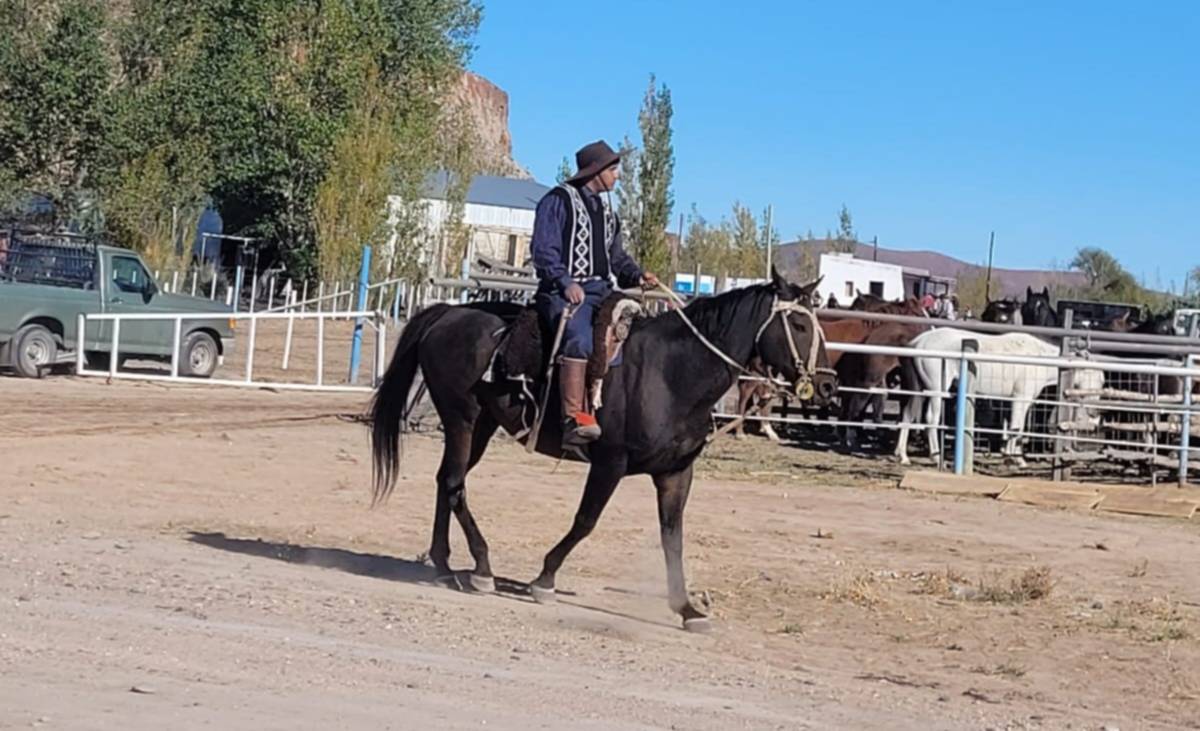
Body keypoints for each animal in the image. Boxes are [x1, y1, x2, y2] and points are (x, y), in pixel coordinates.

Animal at [369, 269, 837, 631]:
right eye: (798, 326)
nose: (828, 385)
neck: (671, 372)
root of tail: (449, 313)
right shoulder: (610, 463)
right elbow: (585, 522)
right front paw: (544, 579)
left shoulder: (676, 473)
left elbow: (673, 538)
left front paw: (686, 608)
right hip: (462, 419)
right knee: (454, 483)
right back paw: (480, 568)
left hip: (482, 425)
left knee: (447, 482)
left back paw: (444, 565)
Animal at [895, 328, 1103, 467]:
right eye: (1098, 378)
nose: (1096, 413)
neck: (1039, 359)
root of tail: (918, 342)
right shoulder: (1020, 399)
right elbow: (1017, 428)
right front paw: (1017, 459)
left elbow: (1016, 427)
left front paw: (1010, 455)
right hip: (937, 389)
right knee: (930, 419)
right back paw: (936, 457)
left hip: (919, 389)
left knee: (907, 415)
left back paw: (903, 456)